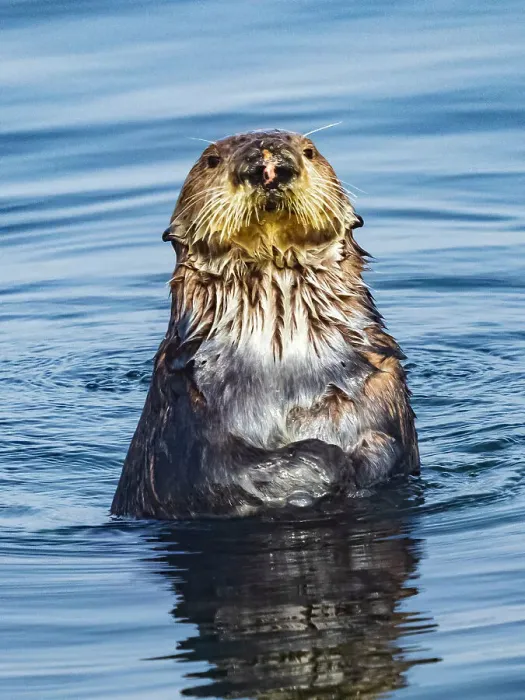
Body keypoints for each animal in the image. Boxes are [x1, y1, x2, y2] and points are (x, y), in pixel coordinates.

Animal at [111, 130, 419, 519]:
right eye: (211, 160)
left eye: (310, 151)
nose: (267, 162)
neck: (280, 356)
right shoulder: (182, 414)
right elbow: (217, 475)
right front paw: (331, 459)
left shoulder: (384, 382)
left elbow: (392, 448)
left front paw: (368, 451)